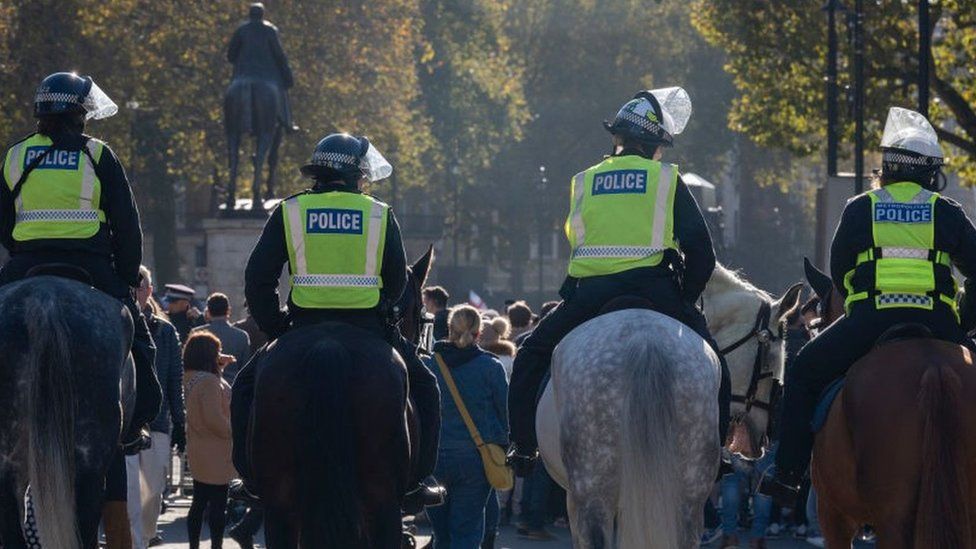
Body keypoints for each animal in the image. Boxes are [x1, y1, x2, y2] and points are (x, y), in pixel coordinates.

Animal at [228, 77, 288, 212]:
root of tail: (248, 81)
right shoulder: (278, 130)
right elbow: (272, 158)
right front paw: (270, 193)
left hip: (232, 130)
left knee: (234, 158)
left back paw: (231, 199)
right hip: (266, 129)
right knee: (260, 157)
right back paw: (257, 199)